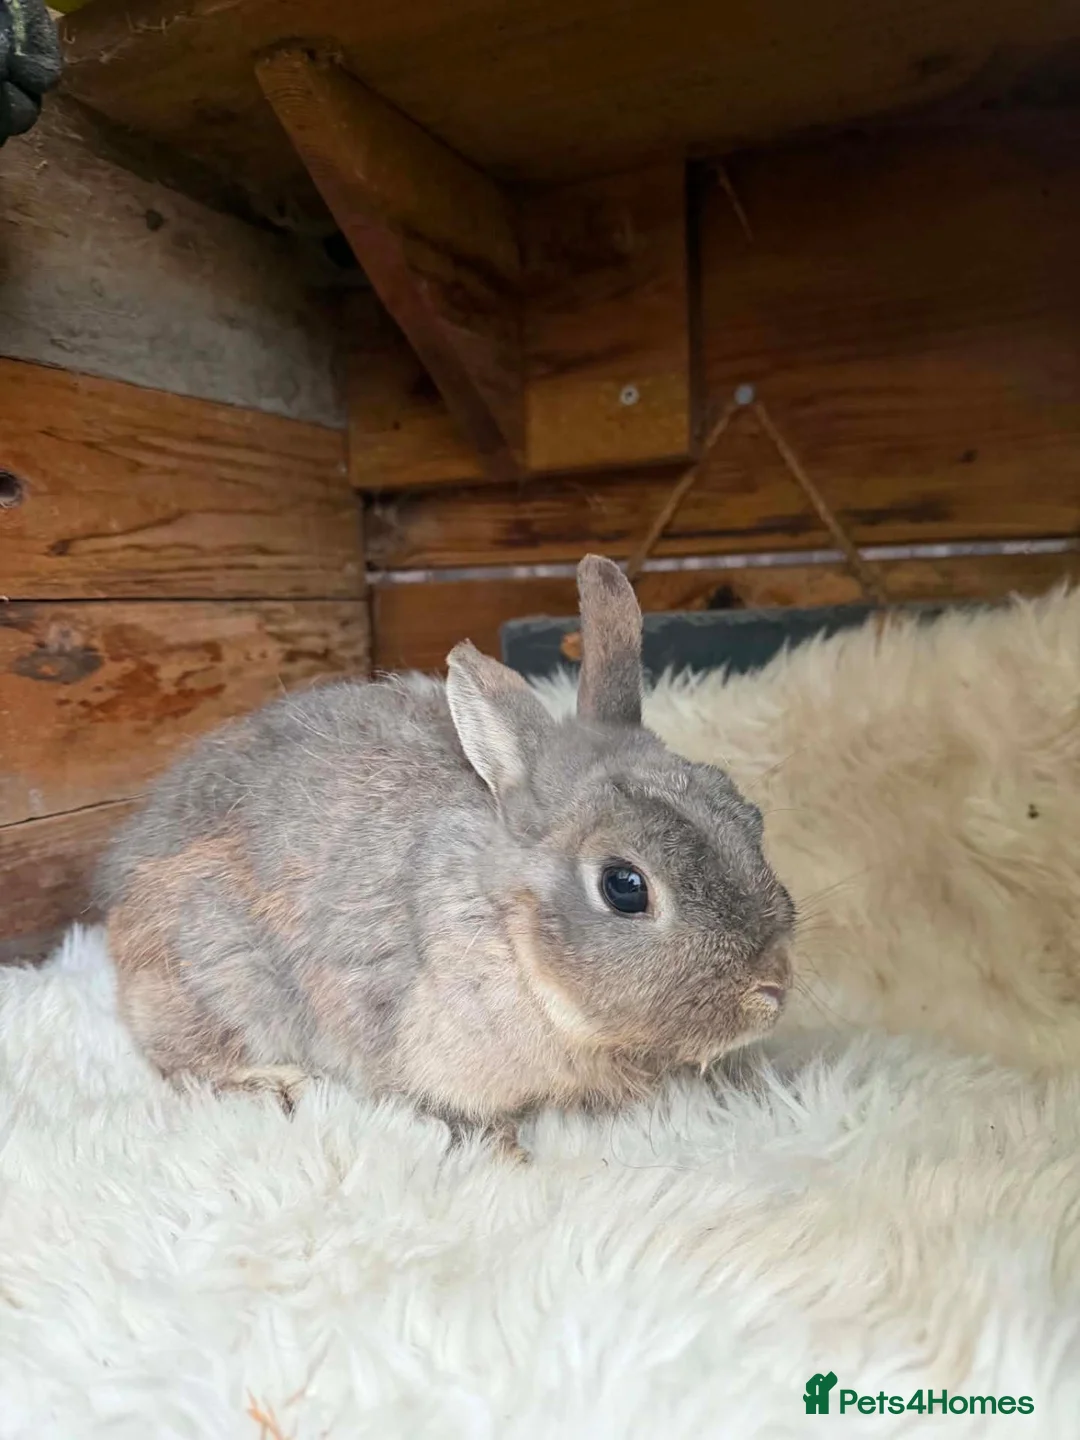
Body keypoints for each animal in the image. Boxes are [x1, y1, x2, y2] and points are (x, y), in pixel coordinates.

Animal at [97, 556, 794, 1150]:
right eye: (624, 886)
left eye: (750, 817)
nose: (772, 988)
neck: (508, 930)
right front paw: (510, 1159)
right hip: (214, 980)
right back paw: (274, 1085)